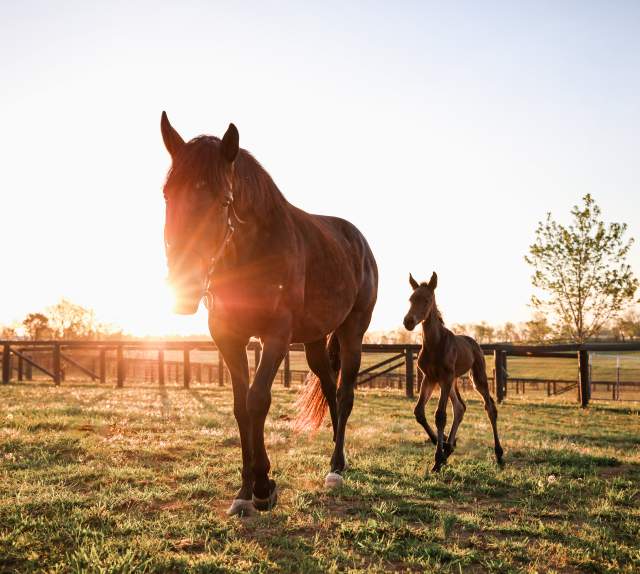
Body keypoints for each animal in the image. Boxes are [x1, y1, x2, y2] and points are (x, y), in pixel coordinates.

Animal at [160, 112, 378, 515]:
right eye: (168, 195)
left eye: (224, 201)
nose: (185, 285)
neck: (252, 251)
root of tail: (356, 239)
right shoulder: (228, 338)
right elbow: (240, 407)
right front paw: (245, 491)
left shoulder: (275, 336)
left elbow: (258, 400)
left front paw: (264, 487)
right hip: (314, 341)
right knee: (329, 387)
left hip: (352, 332)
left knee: (345, 394)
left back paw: (337, 468)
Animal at [403, 272, 503, 472]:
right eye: (410, 299)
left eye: (426, 300)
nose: (408, 321)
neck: (435, 343)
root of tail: (473, 342)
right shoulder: (429, 378)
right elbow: (419, 412)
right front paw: (441, 446)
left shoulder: (445, 377)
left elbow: (440, 415)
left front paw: (437, 458)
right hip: (451, 382)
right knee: (460, 407)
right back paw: (449, 448)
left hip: (475, 377)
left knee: (489, 407)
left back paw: (498, 454)